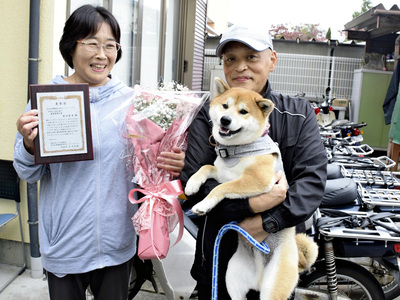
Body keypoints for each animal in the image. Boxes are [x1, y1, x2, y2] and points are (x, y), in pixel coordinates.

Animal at [183, 78, 318, 300]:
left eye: (244, 111)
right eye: (225, 106)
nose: (225, 120)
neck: (236, 151)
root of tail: (259, 278)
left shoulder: (257, 180)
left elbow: (221, 188)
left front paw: (203, 205)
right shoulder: (220, 171)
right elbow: (205, 167)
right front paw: (192, 184)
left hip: (273, 285)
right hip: (232, 279)